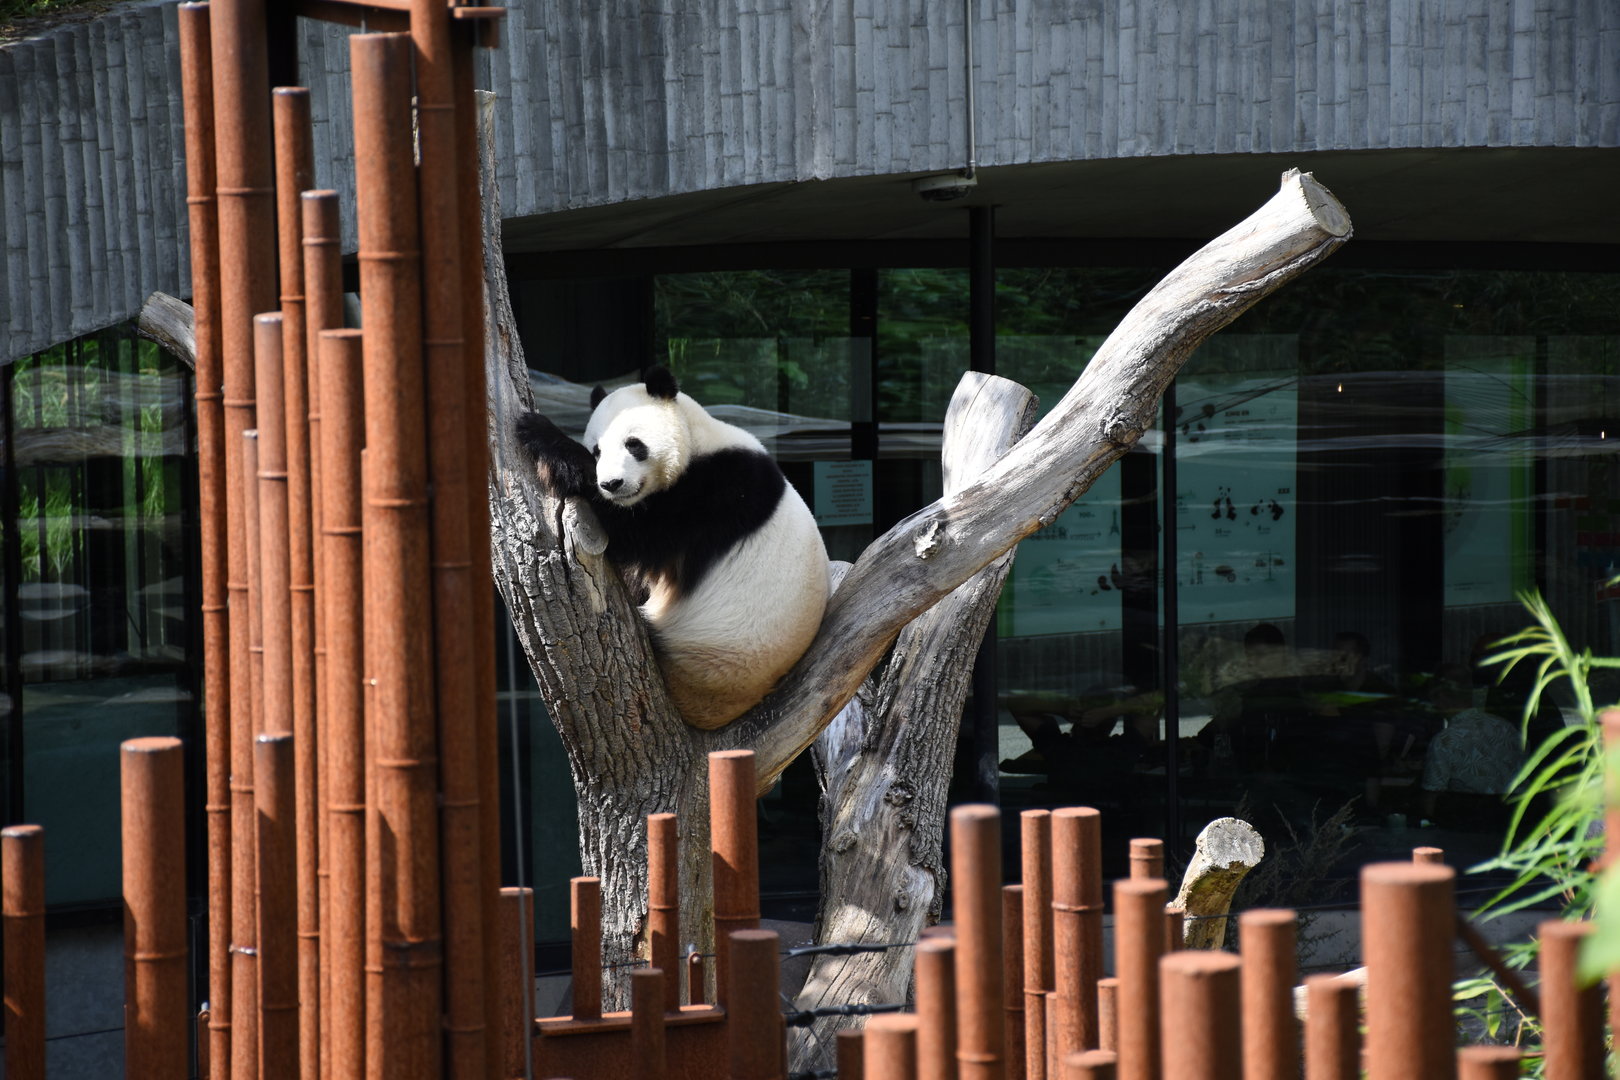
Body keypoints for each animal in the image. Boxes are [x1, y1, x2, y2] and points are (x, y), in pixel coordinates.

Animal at [515, 366, 830, 730]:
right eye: (597, 451)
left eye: (633, 444)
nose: (612, 484)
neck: (698, 441)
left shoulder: (715, 496)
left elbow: (634, 532)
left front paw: (538, 429)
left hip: (705, 656)